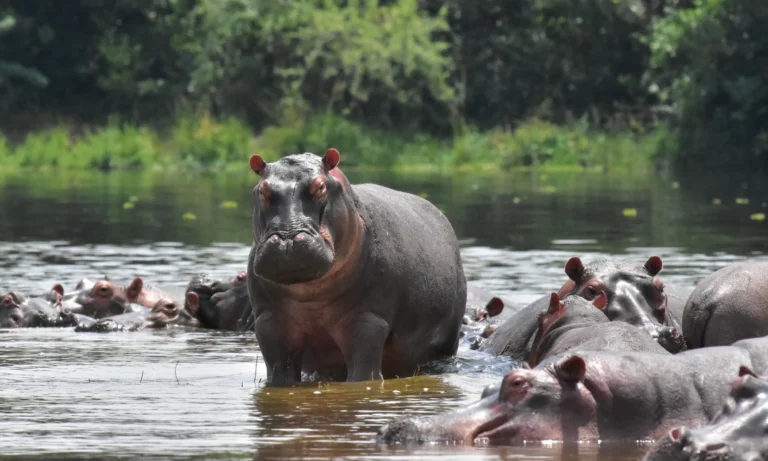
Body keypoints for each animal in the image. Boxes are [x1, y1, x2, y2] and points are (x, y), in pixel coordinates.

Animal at [246, 149, 466, 385]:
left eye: (321, 187)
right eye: (262, 190)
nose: (287, 238)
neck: (309, 294)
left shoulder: (367, 321)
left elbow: (363, 374)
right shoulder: (269, 321)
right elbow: (280, 373)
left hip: (447, 340)